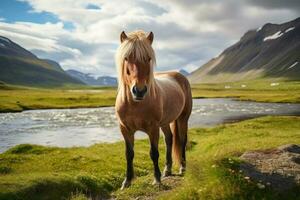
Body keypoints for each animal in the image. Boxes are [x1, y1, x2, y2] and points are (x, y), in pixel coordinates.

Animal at [115, 29, 192, 189]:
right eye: (126, 58)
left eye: (148, 58)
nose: (139, 91)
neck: (135, 105)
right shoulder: (125, 129)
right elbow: (129, 154)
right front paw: (127, 181)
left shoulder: (153, 128)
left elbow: (154, 153)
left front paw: (156, 179)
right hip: (165, 123)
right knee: (169, 139)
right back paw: (167, 169)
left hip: (183, 118)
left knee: (182, 139)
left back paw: (182, 167)